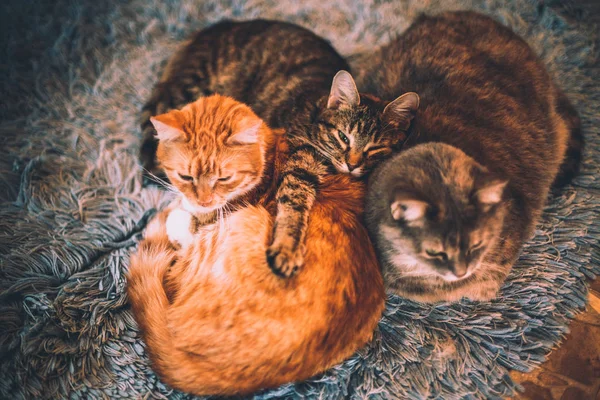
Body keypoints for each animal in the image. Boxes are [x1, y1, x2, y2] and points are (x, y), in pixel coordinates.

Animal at [128, 94, 386, 396]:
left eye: (224, 178)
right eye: (186, 176)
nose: (203, 201)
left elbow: (182, 224)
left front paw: (179, 213)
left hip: (241, 224)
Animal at [139, 18, 422, 276]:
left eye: (375, 148)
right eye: (343, 136)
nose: (352, 164)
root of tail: (214, 28)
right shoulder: (297, 166)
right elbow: (292, 205)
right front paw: (287, 247)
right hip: (188, 93)